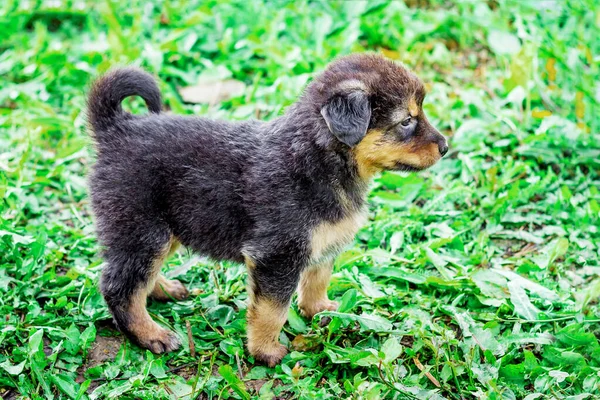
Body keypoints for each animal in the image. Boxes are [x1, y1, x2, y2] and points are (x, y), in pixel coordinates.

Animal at [88, 53, 446, 366]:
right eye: (407, 121)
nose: (445, 146)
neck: (317, 159)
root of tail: (115, 128)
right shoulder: (276, 255)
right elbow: (272, 310)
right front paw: (265, 351)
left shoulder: (324, 244)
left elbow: (317, 280)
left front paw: (321, 311)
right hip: (141, 228)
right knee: (120, 287)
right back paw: (152, 335)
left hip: (163, 228)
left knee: (138, 277)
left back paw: (163, 289)